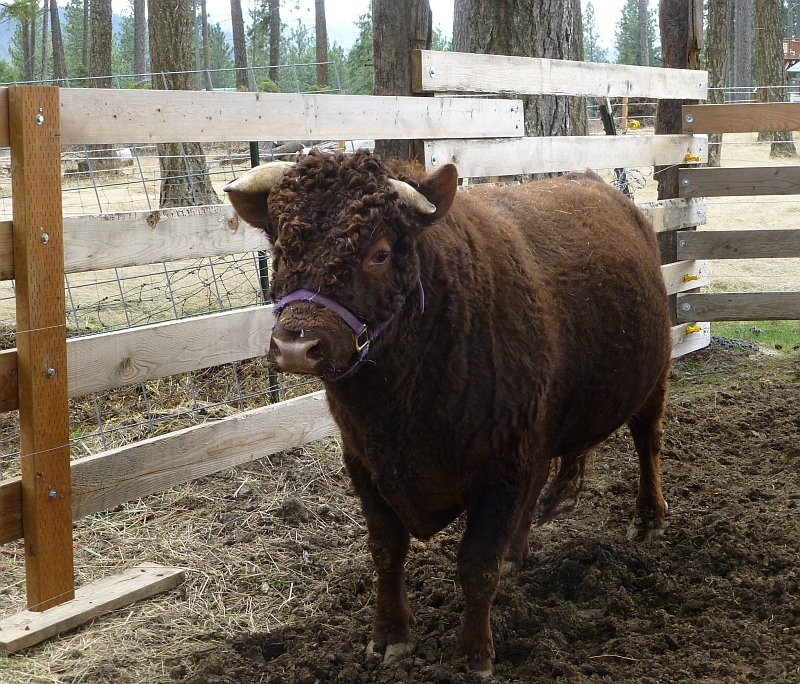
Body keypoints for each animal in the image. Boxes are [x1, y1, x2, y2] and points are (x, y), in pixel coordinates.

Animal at [224, 149, 672, 676]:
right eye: (280, 246)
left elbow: (476, 566)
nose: (296, 347)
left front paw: (473, 655)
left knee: (647, 441)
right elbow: (386, 551)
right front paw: (390, 636)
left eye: (380, 252)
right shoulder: (364, 464)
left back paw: (647, 517)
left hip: (652, 376)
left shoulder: (500, 468)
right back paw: (523, 545)